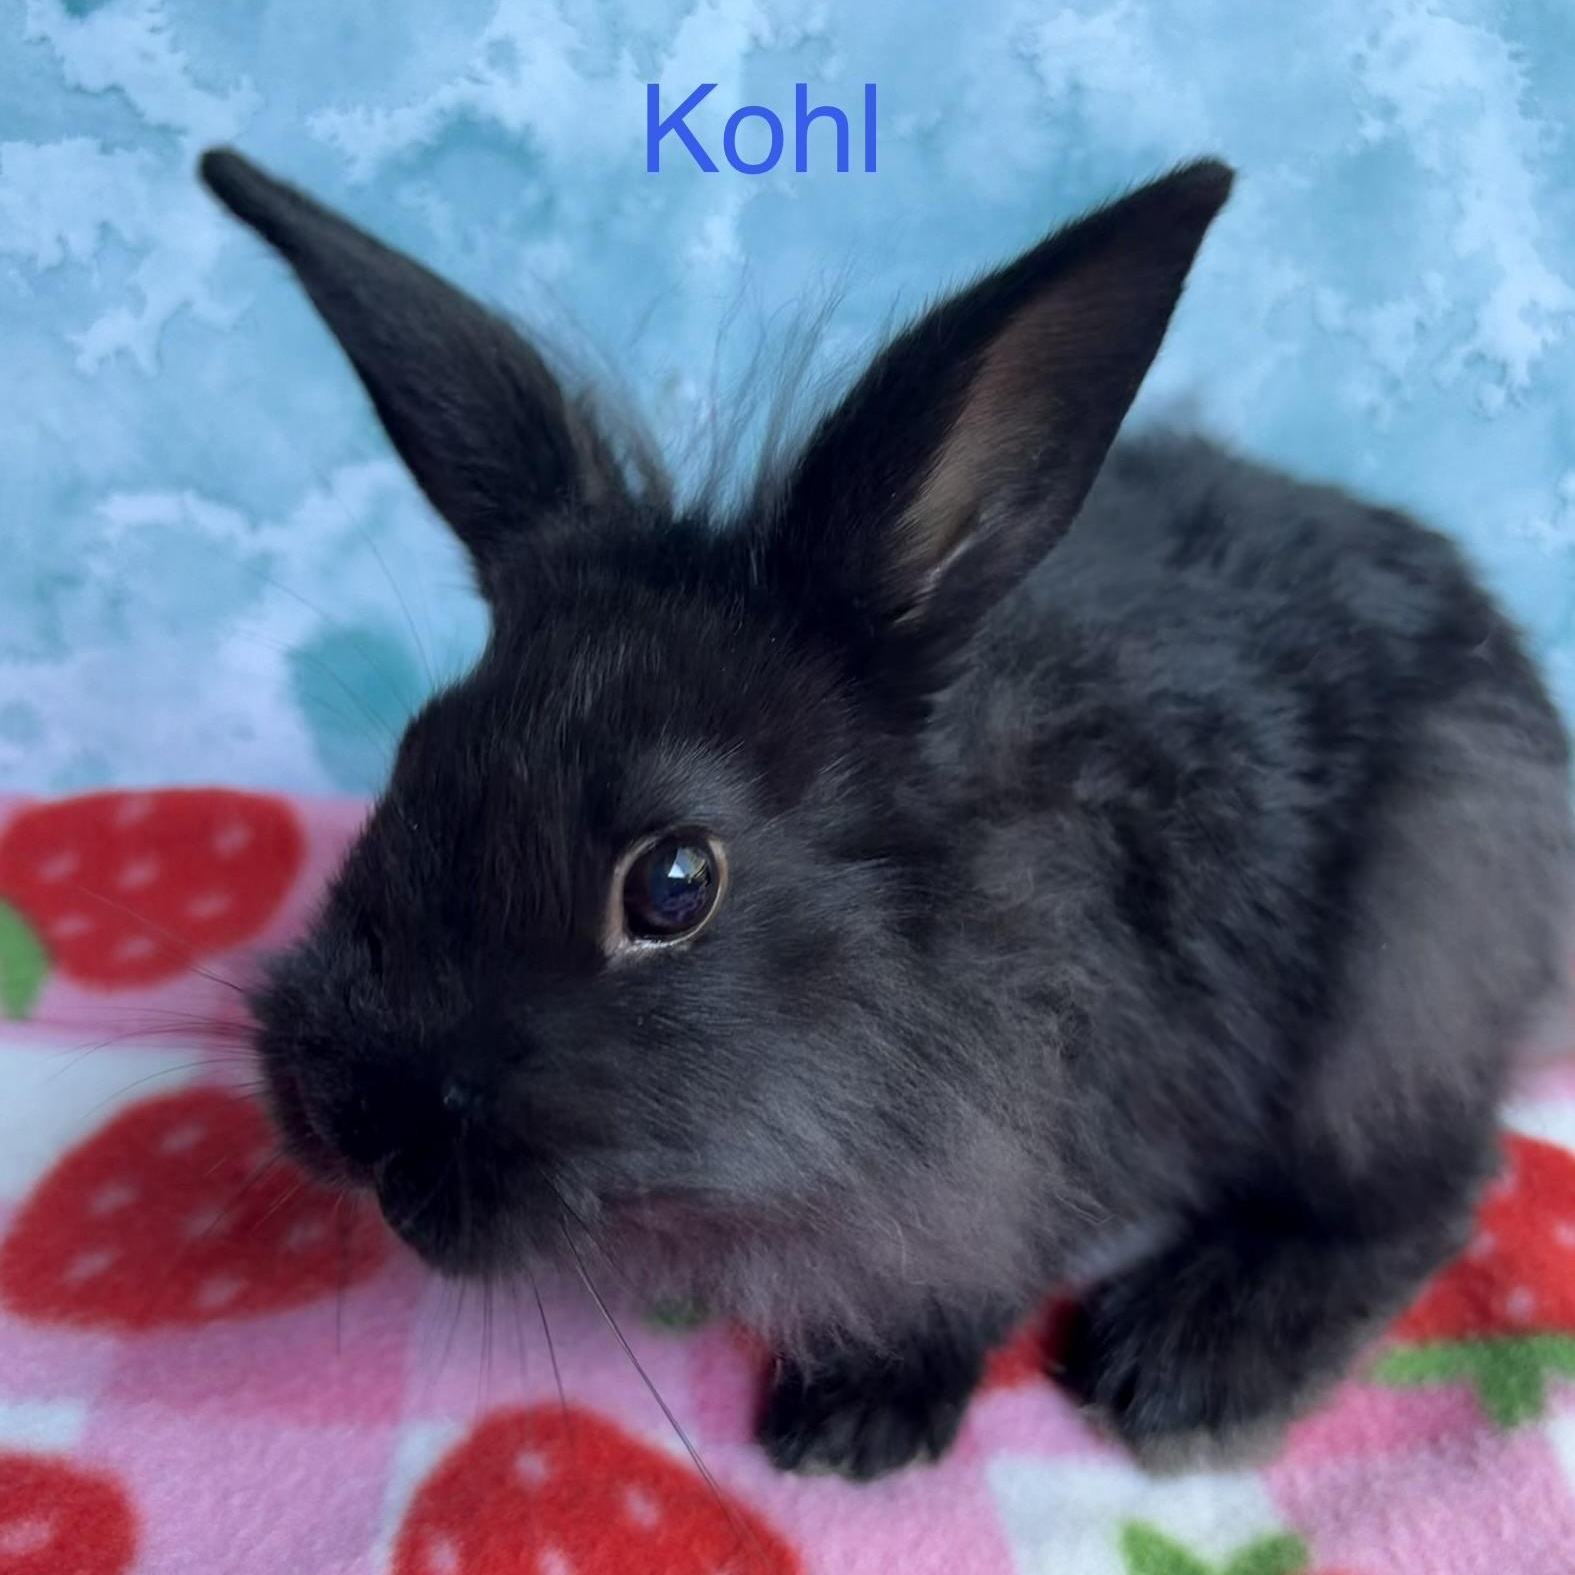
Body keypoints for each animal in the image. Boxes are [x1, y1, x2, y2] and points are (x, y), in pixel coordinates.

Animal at [204, 147, 1575, 1482]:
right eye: (414, 755)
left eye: (673, 883)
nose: (359, 1123)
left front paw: (850, 1422)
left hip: (1409, 969)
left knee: (1414, 1189)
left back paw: (1190, 1364)